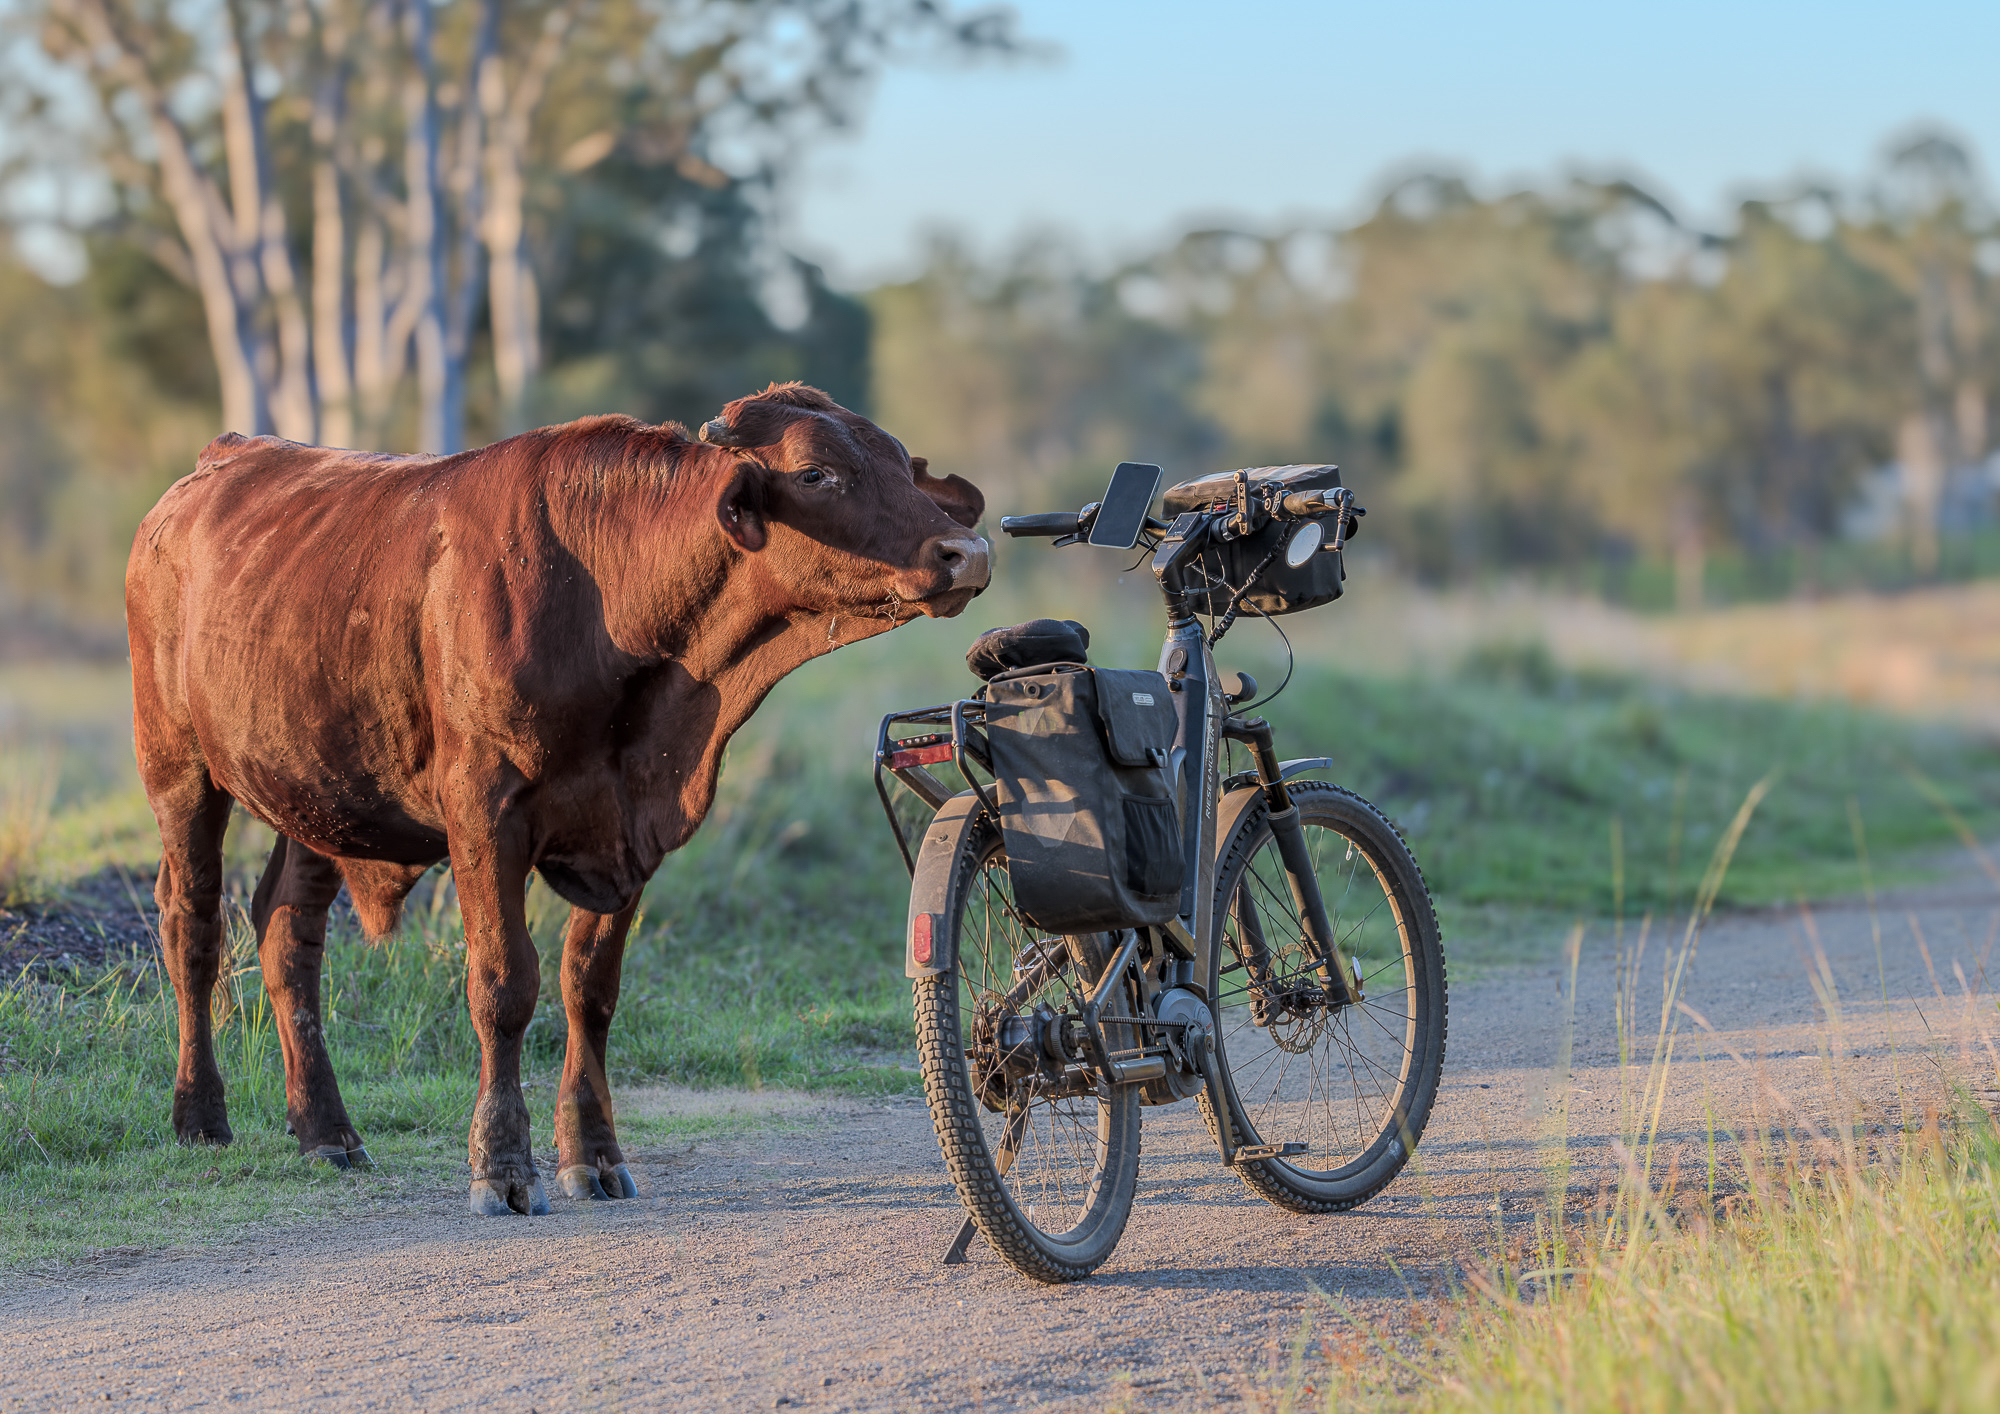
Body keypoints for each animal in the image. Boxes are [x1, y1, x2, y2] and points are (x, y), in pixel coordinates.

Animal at [125, 382, 988, 1216]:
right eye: (815, 473)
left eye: (902, 464)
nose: (966, 552)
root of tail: (216, 463)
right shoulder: (484, 816)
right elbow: (505, 986)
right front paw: (501, 1165)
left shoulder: (633, 829)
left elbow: (590, 990)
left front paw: (593, 1154)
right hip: (178, 769)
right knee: (192, 925)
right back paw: (200, 1116)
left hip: (319, 797)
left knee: (286, 934)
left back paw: (327, 1131)